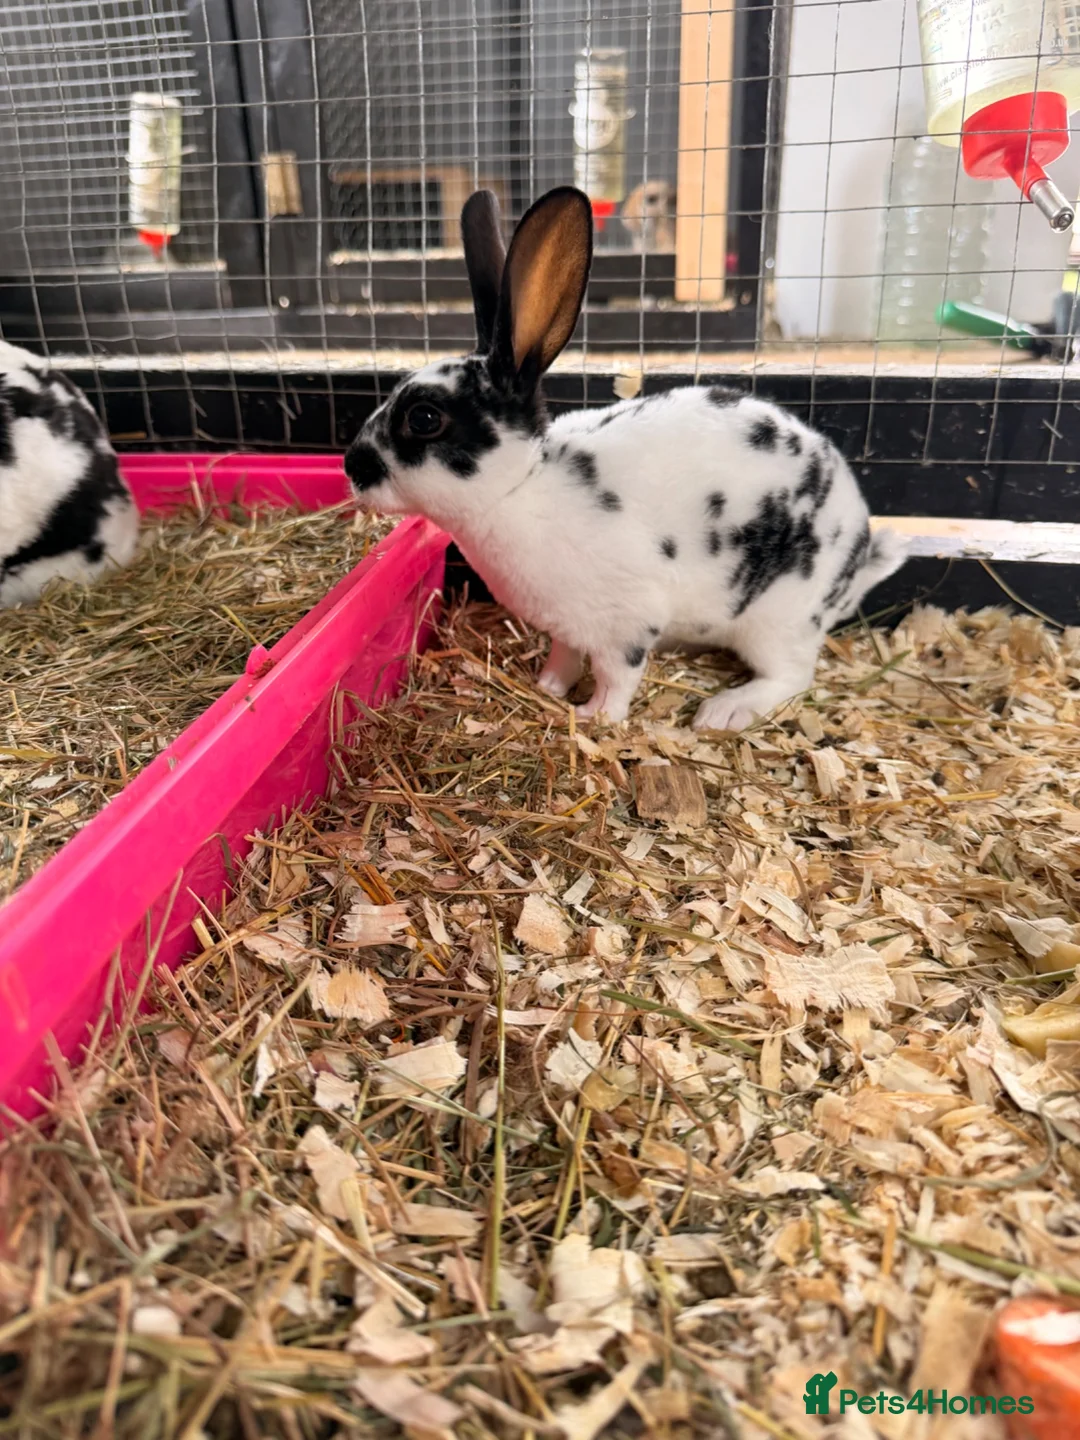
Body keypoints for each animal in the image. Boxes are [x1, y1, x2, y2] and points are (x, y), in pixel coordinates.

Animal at [344, 186, 907, 731]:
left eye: (424, 418)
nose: (352, 466)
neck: (520, 487)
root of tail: (859, 549)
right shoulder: (568, 625)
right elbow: (564, 657)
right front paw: (546, 687)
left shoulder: (625, 627)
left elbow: (617, 679)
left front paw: (593, 717)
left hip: (777, 621)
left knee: (791, 677)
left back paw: (723, 711)